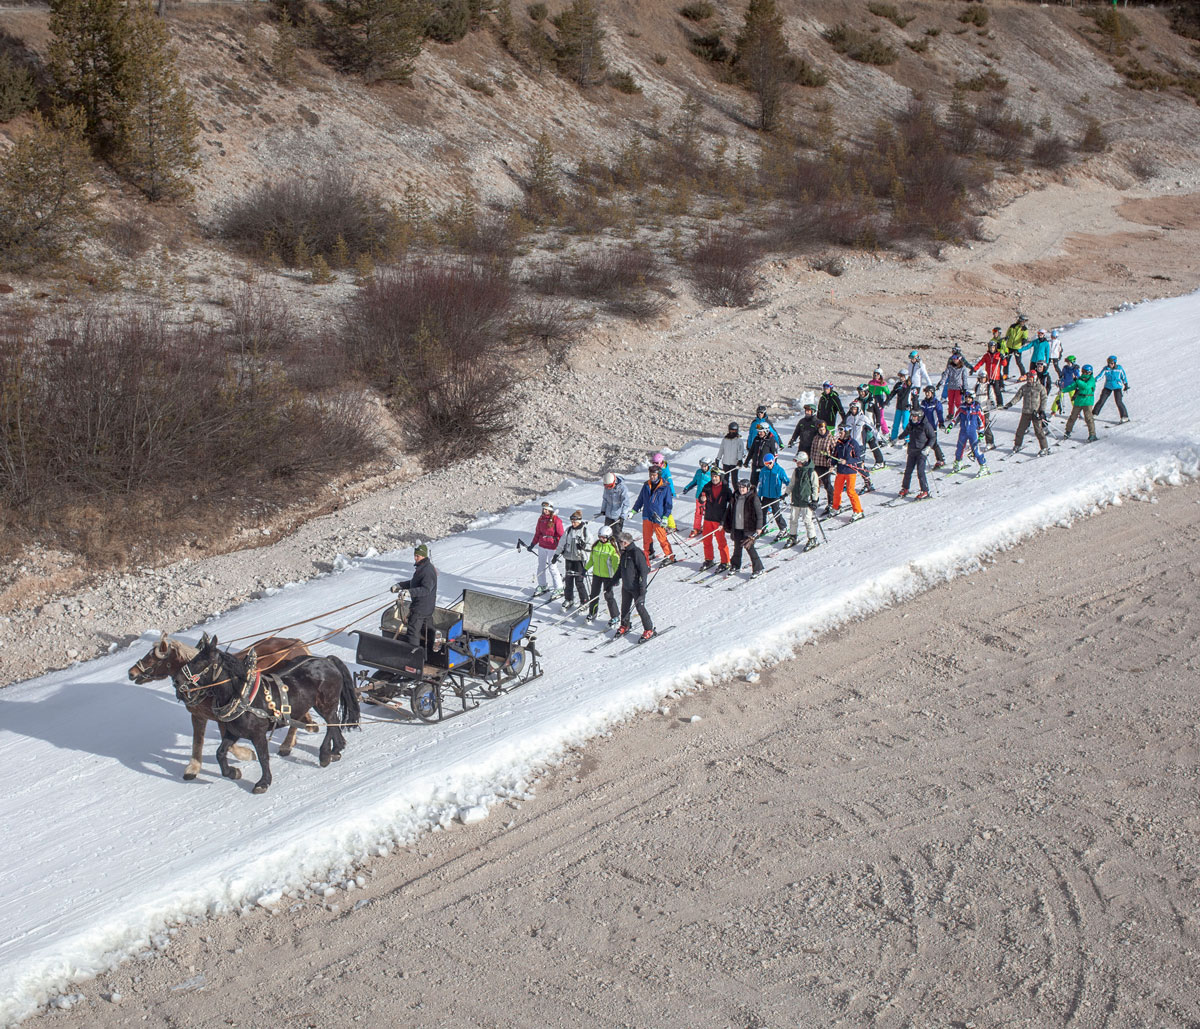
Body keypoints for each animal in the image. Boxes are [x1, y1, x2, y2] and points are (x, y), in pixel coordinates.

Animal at [129, 623, 312, 777]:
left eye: (153, 657)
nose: (131, 672)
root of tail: (296, 643)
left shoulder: (224, 718)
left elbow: (229, 743)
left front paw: (246, 755)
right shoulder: (198, 716)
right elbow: (197, 741)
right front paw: (193, 768)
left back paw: (287, 744)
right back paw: (306, 729)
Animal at [174, 628, 357, 791]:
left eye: (200, 662)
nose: (177, 681)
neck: (241, 696)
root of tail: (326, 660)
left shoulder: (258, 734)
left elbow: (263, 757)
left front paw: (263, 783)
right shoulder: (233, 732)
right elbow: (220, 752)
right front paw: (232, 772)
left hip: (326, 704)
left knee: (331, 723)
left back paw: (325, 754)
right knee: (333, 723)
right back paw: (336, 749)